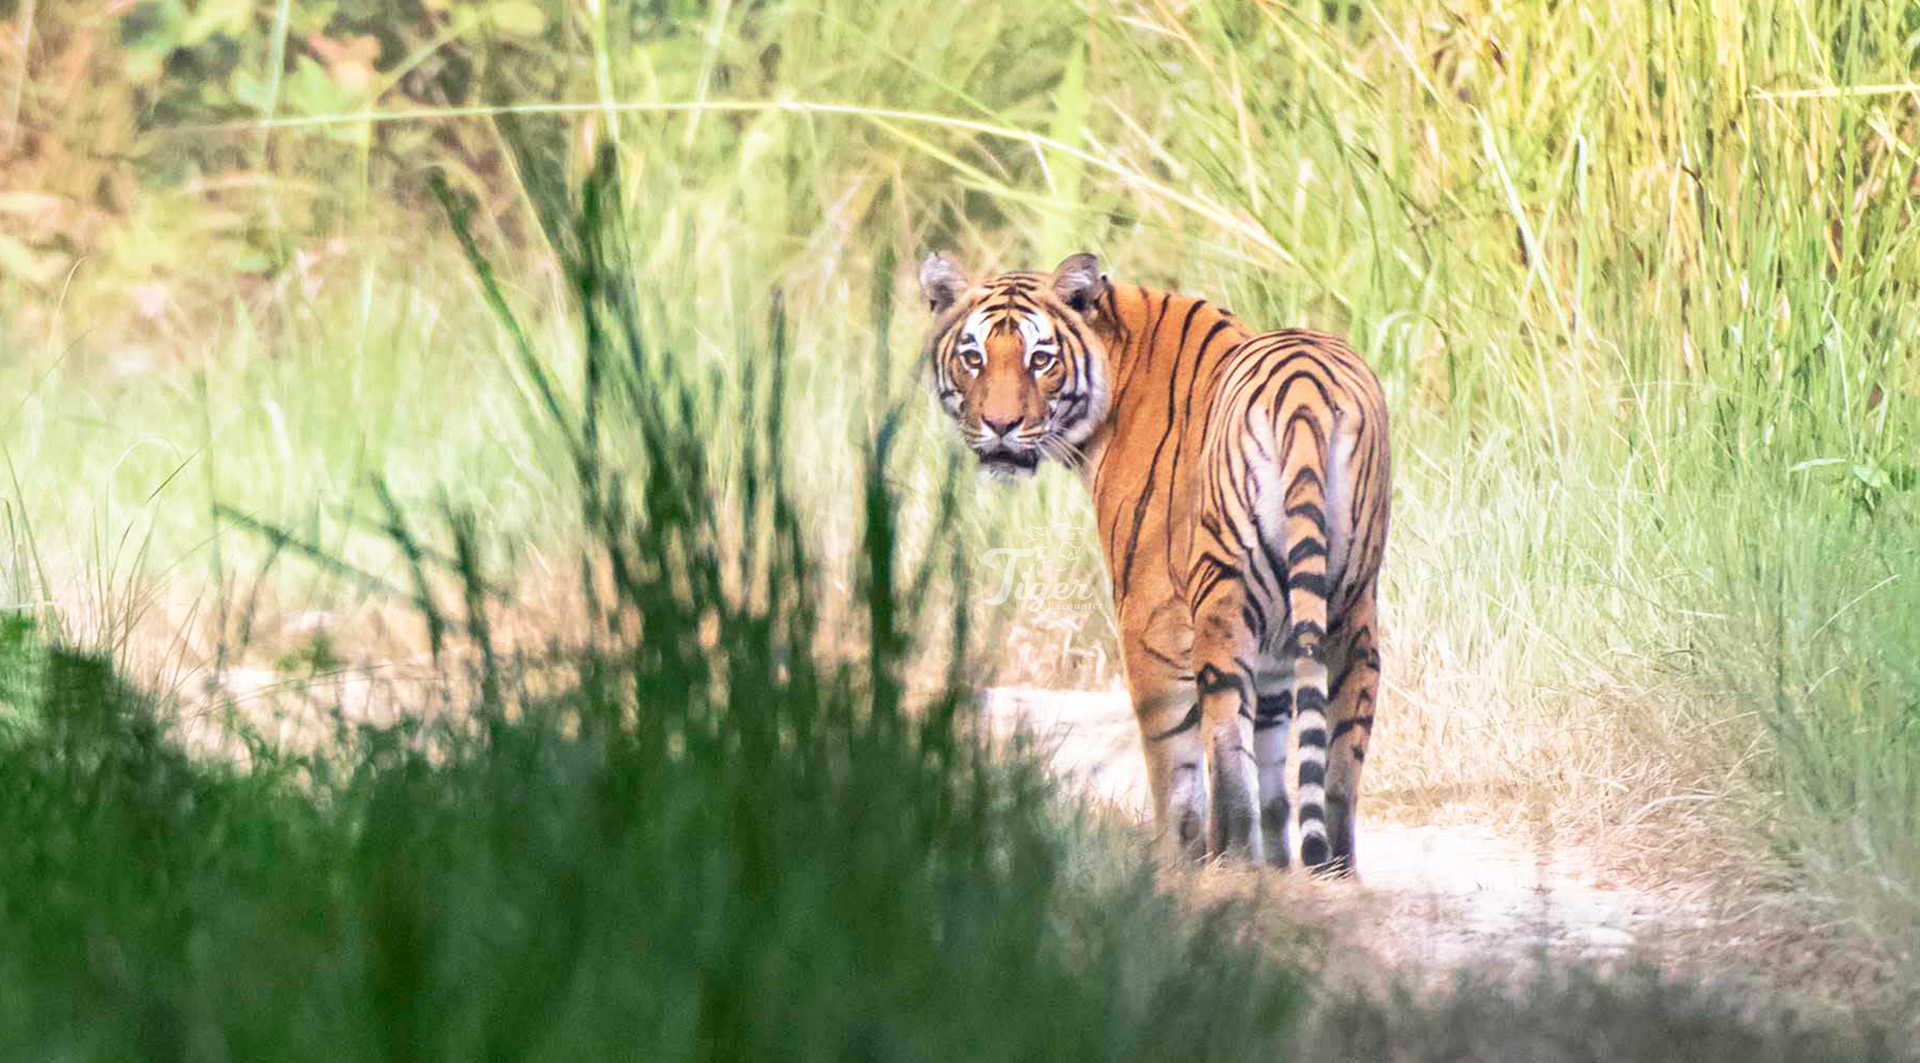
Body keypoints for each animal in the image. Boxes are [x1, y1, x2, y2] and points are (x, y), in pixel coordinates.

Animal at [919, 251, 1391, 874]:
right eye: (973, 358)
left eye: (1040, 359)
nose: (999, 427)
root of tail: (1305, 391)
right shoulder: (1276, 646)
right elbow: (1272, 753)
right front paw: (1278, 868)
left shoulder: (1150, 616)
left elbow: (1175, 763)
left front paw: (1177, 863)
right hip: (1353, 610)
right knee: (1339, 765)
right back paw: (1334, 871)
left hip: (1220, 604)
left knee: (1222, 743)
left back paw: (1231, 861)